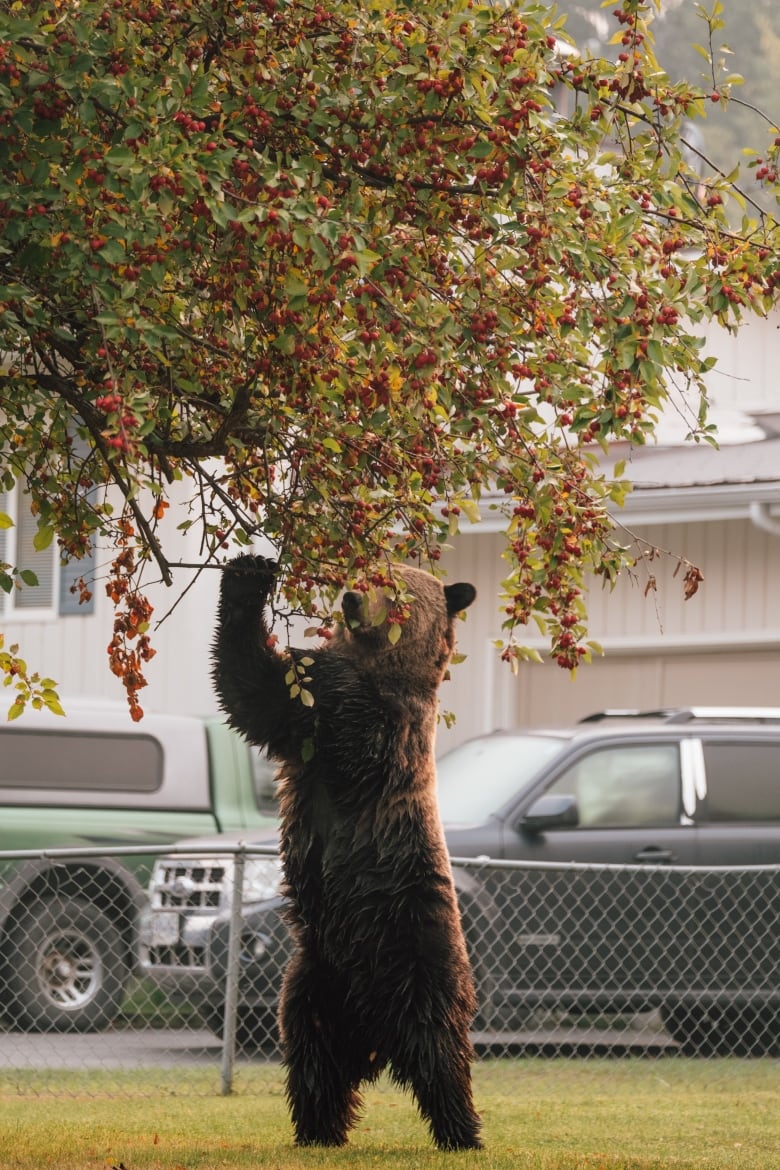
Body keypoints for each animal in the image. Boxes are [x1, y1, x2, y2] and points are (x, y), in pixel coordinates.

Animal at [211, 556, 481, 1151]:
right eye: (370, 569)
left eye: (398, 589)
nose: (352, 598)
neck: (379, 662)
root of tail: (375, 1035)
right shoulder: (298, 726)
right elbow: (251, 688)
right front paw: (248, 573)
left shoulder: (390, 733)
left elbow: (343, 714)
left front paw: (314, 656)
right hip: (313, 982)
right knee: (314, 1060)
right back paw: (317, 1129)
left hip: (418, 952)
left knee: (441, 1053)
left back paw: (463, 1131)